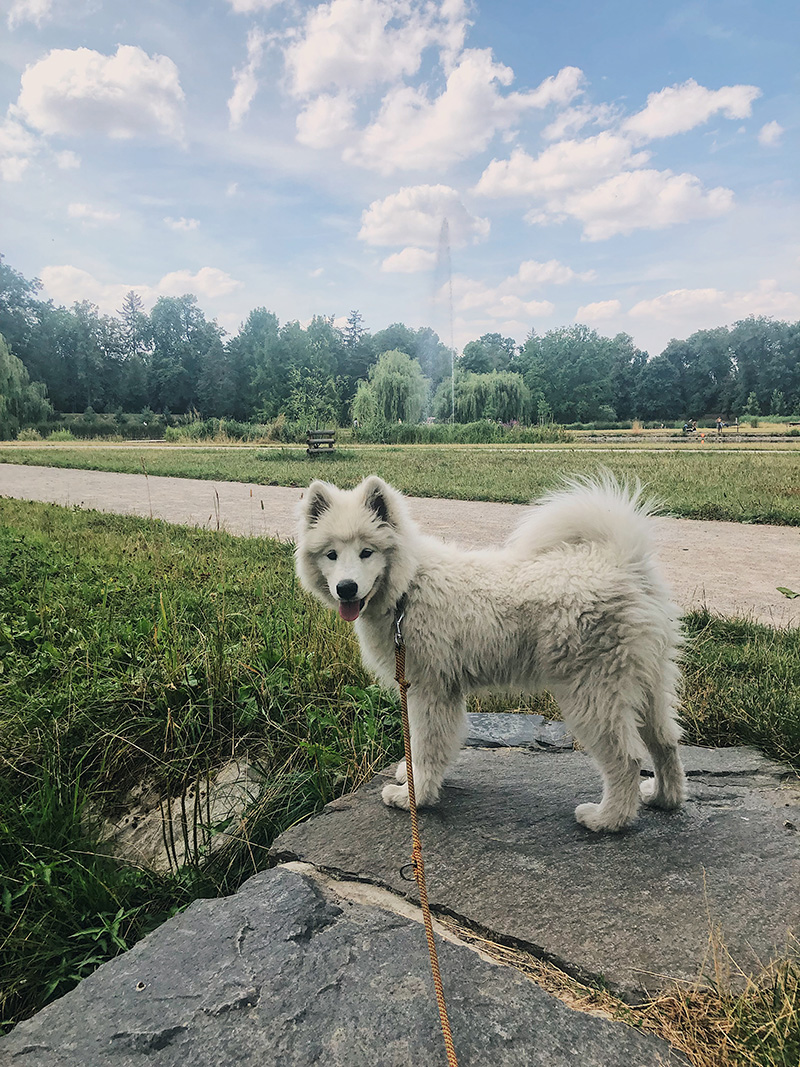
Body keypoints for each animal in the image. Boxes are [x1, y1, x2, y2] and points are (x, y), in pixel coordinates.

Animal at [295, 473, 686, 832]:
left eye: (367, 552)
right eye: (331, 554)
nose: (346, 588)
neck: (408, 588)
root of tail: (623, 563)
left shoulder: (430, 690)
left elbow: (425, 746)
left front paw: (414, 798)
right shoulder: (438, 690)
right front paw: (410, 779)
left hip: (592, 693)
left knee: (628, 758)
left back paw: (606, 820)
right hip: (647, 683)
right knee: (665, 742)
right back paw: (662, 798)